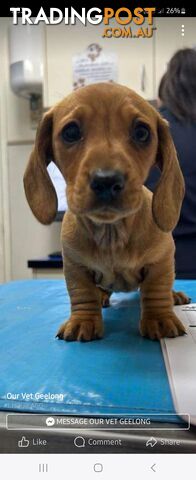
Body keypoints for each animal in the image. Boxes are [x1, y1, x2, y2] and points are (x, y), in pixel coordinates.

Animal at [23, 84, 189, 344]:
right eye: (71, 132)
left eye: (142, 133)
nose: (106, 180)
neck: (112, 234)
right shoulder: (75, 266)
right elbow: (81, 293)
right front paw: (83, 320)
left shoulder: (161, 260)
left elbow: (156, 289)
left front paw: (159, 318)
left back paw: (175, 296)